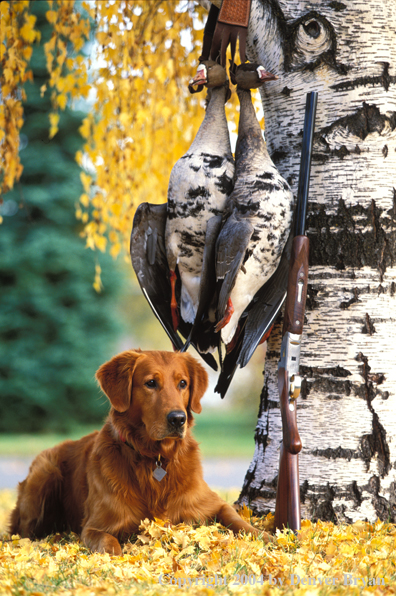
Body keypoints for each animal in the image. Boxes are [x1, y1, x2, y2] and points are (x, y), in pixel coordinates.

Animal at [10, 350, 270, 556]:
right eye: (151, 383)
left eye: (183, 383)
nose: (178, 419)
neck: (156, 458)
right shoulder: (95, 526)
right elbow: (108, 541)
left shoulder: (211, 503)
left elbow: (237, 519)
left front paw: (267, 537)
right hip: (44, 475)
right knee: (22, 533)